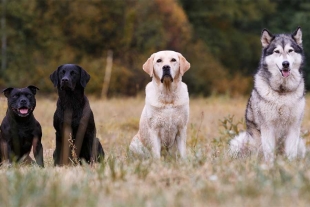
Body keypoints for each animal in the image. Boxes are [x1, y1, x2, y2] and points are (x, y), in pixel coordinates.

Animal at [230, 27, 306, 162]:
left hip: (300, 143)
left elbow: (291, 153)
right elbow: (269, 153)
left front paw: (290, 165)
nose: (285, 63)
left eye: (290, 50)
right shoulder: (268, 127)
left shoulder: (294, 127)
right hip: (241, 142)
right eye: (277, 51)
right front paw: (269, 165)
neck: (282, 92)